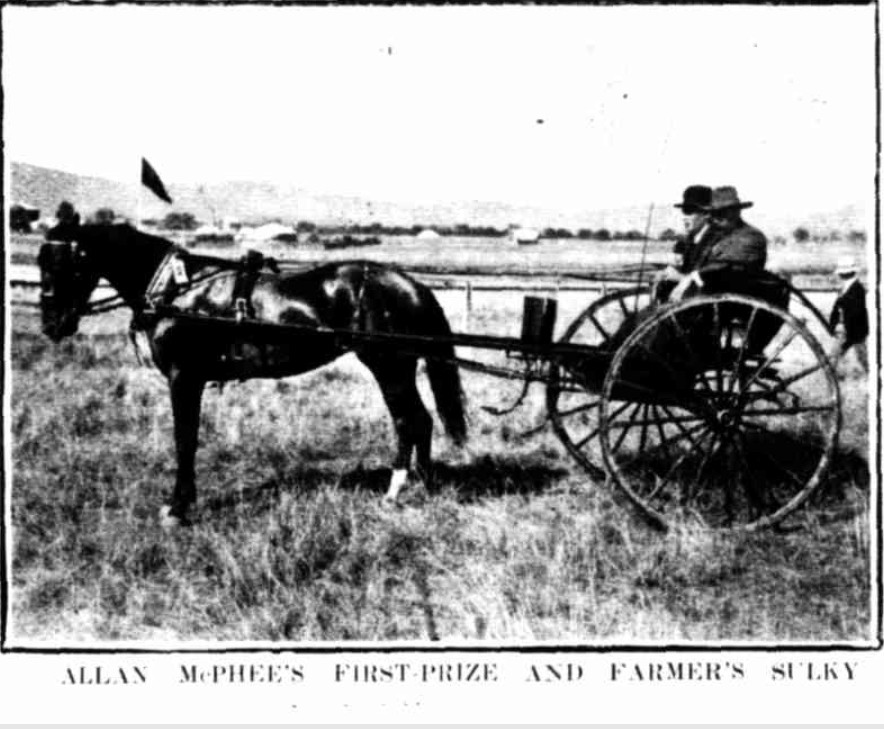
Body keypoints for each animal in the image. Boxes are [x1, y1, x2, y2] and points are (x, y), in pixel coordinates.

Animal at [39, 219, 470, 528]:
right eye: (43, 264)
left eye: (65, 265)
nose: (52, 325)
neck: (177, 291)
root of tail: (412, 286)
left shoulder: (184, 378)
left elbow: (185, 440)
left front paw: (178, 508)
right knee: (420, 421)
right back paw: (423, 484)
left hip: (389, 366)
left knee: (410, 420)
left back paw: (397, 490)